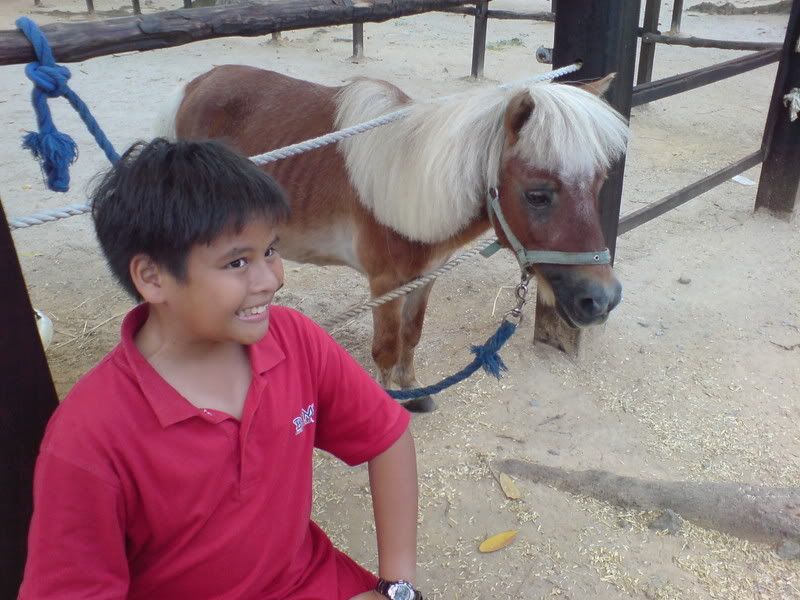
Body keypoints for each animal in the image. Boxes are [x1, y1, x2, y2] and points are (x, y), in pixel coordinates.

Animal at [159, 66, 630, 412]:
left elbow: (411, 335)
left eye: (599, 183)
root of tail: (199, 83)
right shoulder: (385, 284)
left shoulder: (426, 276)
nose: (601, 300)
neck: (412, 184)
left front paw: (415, 391)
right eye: (537, 194)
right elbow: (385, 347)